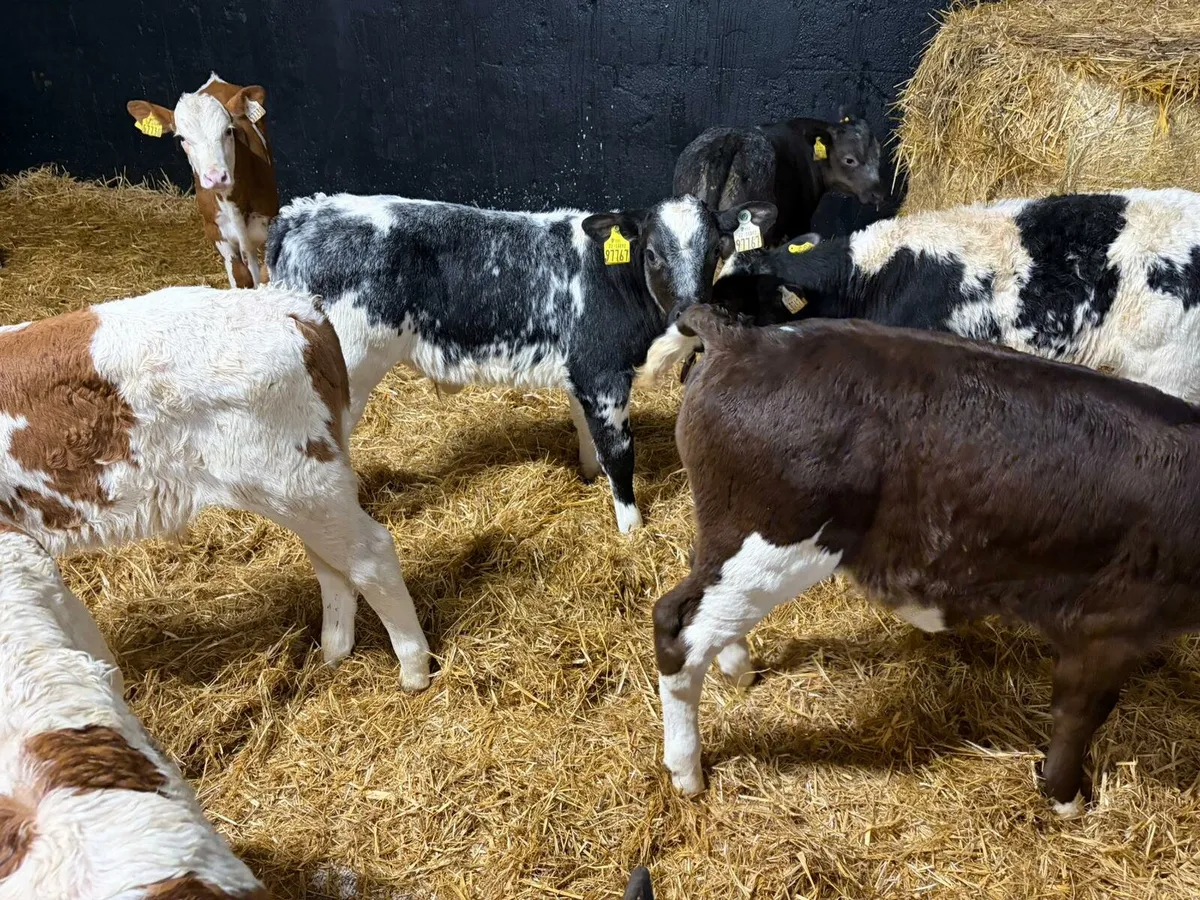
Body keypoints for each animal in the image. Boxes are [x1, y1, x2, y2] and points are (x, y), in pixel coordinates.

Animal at [0, 285, 430, 691]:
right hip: (303, 491)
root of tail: (292, 307)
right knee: (331, 563)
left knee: (372, 554)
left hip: (296, 481)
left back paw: (414, 669)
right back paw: (334, 652)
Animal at [127, 73, 280, 289]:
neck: (232, 202)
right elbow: (241, 277)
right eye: (182, 138)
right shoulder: (216, 233)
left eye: (228, 131)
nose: (216, 177)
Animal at [266, 192, 777, 532]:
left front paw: (588, 476)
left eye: (717, 251)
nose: (691, 316)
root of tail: (301, 213)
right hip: (346, 370)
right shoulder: (603, 372)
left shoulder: (580, 372)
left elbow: (586, 431)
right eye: (651, 253)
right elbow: (619, 451)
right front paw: (631, 528)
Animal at [653, 305, 1200, 816]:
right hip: (772, 541)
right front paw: (1068, 800)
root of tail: (742, 339)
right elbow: (1079, 713)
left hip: (731, 541)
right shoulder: (1108, 624)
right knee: (677, 627)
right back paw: (687, 772)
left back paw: (739, 668)